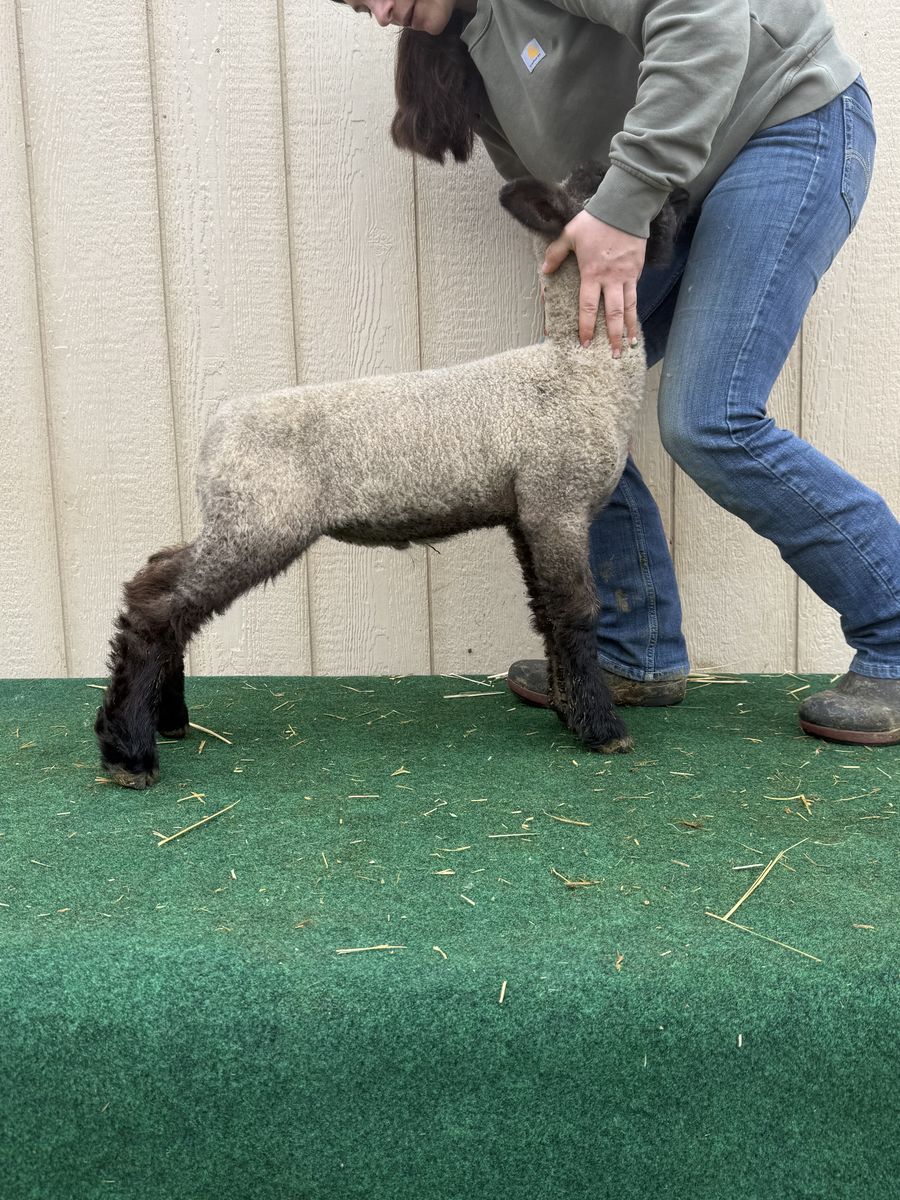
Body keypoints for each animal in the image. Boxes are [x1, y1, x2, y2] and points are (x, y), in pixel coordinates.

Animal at [95, 164, 682, 788]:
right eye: (633, 198)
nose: (686, 195)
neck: (580, 368)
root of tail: (213, 434)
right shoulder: (557, 505)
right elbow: (576, 612)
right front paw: (603, 728)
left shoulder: (526, 514)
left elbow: (546, 614)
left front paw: (571, 713)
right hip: (261, 520)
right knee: (160, 607)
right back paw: (129, 751)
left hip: (236, 517)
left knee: (156, 579)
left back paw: (167, 719)